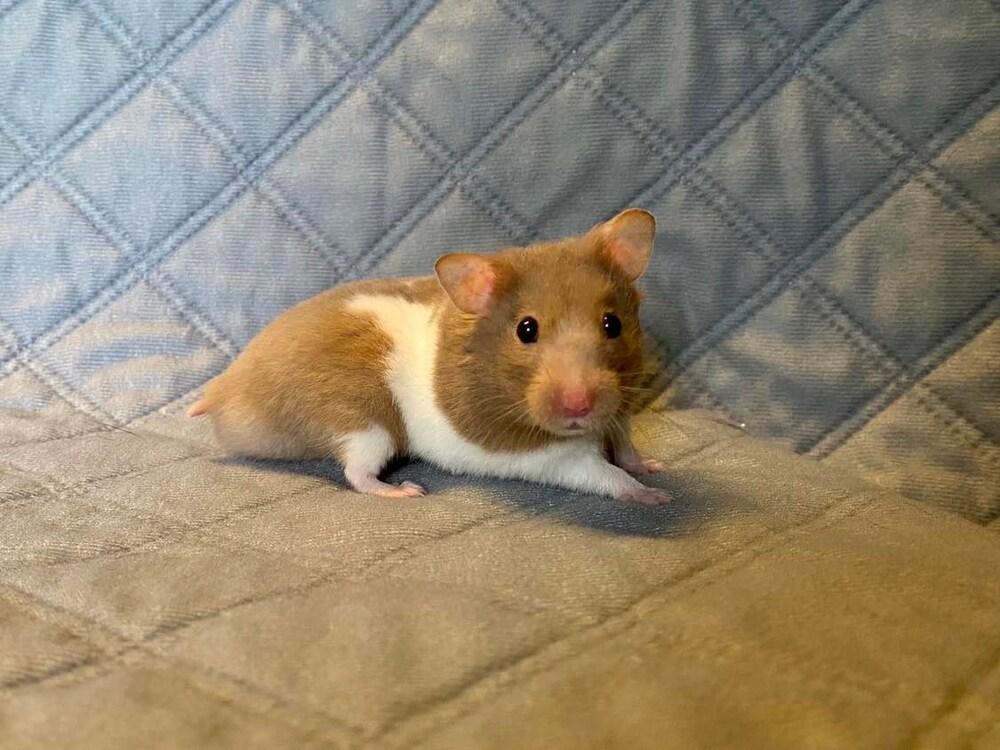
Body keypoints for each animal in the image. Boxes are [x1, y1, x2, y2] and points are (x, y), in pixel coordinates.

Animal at [187, 208, 670, 505]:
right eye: (526, 329)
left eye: (613, 324)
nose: (579, 405)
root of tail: (228, 386)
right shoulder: (548, 457)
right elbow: (604, 474)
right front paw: (657, 496)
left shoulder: (618, 412)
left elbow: (626, 448)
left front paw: (655, 467)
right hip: (363, 425)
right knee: (357, 473)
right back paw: (403, 490)